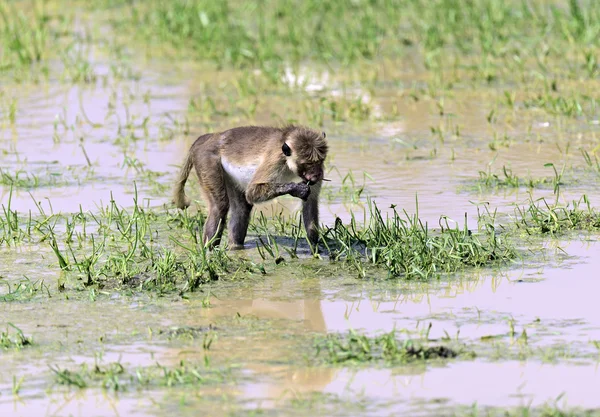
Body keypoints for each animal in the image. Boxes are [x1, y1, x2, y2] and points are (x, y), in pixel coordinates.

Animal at [173, 125, 328, 249]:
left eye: (319, 161)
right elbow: (252, 193)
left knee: (241, 209)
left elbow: (310, 202)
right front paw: (297, 189)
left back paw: (235, 247)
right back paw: (209, 252)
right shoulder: (275, 159)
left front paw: (315, 247)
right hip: (206, 159)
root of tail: (211, 137)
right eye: (307, 163)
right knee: (220, 206)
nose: (316, 175)